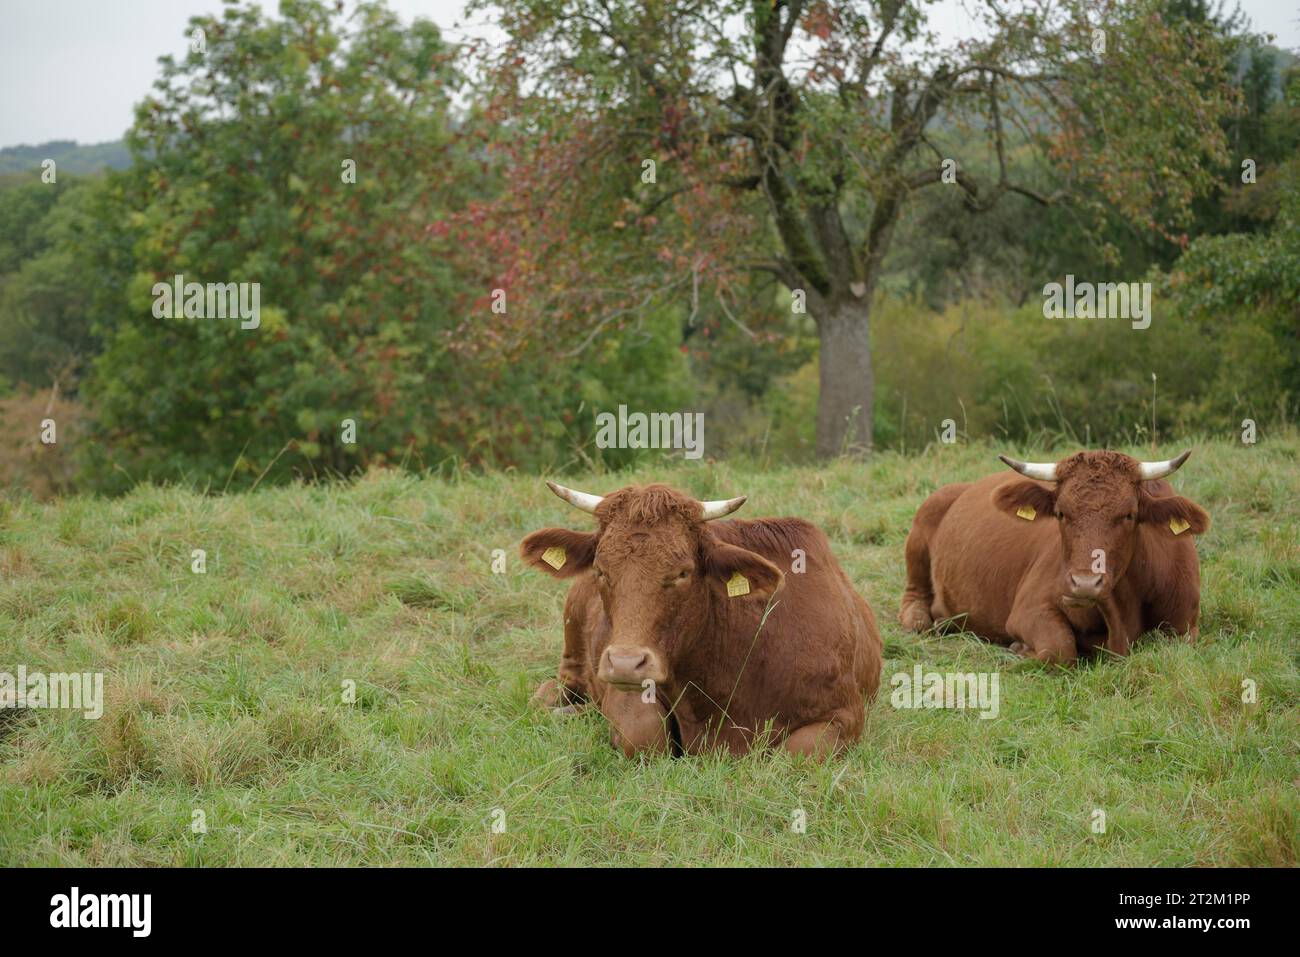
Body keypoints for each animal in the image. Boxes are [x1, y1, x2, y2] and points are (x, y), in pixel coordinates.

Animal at [521, 482, 882, 759]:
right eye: (600, 570)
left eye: (683, 572)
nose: (625, 663)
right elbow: (644, 734)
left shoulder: (845, 713)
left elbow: (798, 753)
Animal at [899, 450, 1210, 664]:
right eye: (1061, 513)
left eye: (1129, 514)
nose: (1084, 584)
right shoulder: (1028, 608)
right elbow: (1060, 648)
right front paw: (1019, 649)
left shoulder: (1185, 627)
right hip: (924, 522)